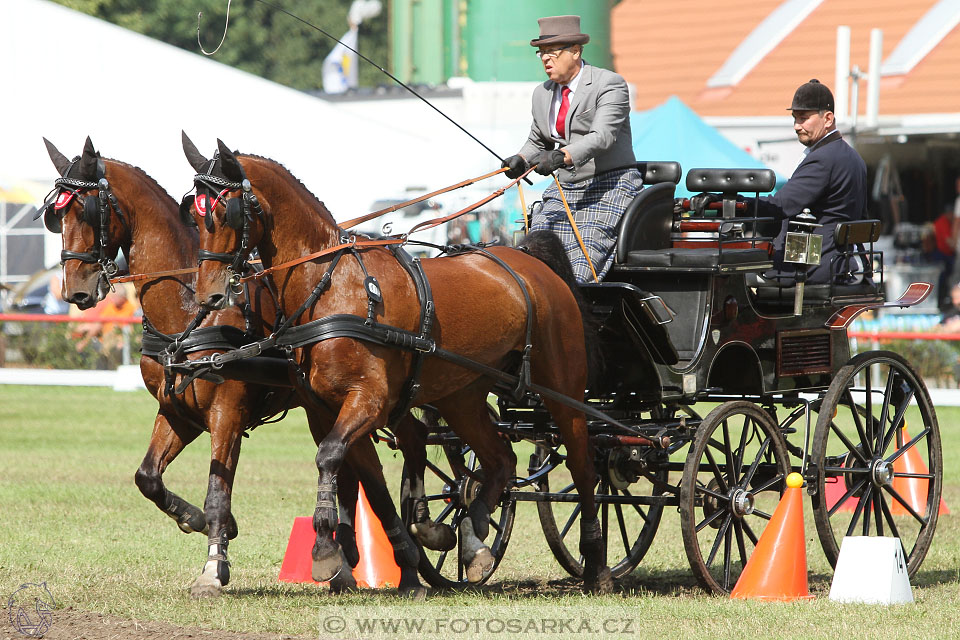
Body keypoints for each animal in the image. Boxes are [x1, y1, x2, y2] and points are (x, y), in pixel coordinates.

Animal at [41, 138, 432, 596]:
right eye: (56, 216)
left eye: (86, 210)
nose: (75, 290)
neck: (190, 311)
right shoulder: (176, 410)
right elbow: (148, 477)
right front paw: (198, 521)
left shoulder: (226, 411)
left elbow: (217, 493)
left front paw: (214, 567)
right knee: (368, 467)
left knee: (407, 447)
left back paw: (417, 550)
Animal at [184, 138, 612, 592]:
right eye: (193, 211)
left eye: (223, 212)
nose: (209, 295)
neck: (332, 287)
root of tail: (531, 260)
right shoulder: (326, 409)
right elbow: (357, 473)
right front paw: (373, 553)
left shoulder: (369, 400)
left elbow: (330, 458)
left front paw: (325, 551)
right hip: (462, 397)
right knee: (501, 461)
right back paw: (473, 539)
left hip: (562, 387)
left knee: (583, 464)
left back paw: (595, 562)